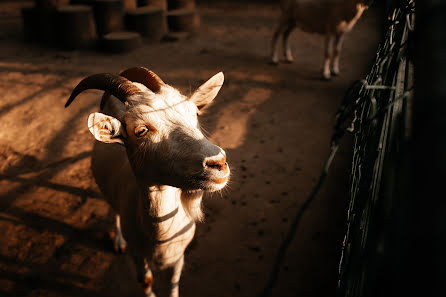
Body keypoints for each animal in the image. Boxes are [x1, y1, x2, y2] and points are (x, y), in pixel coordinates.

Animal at [65, 67, 232, 296]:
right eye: (141, 130)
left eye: (195, 114)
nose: (218, 162)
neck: (160, 239)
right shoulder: (138, 254)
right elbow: (145, 281)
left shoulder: (179, 255)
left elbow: (173, 281)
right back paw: (118, 242)